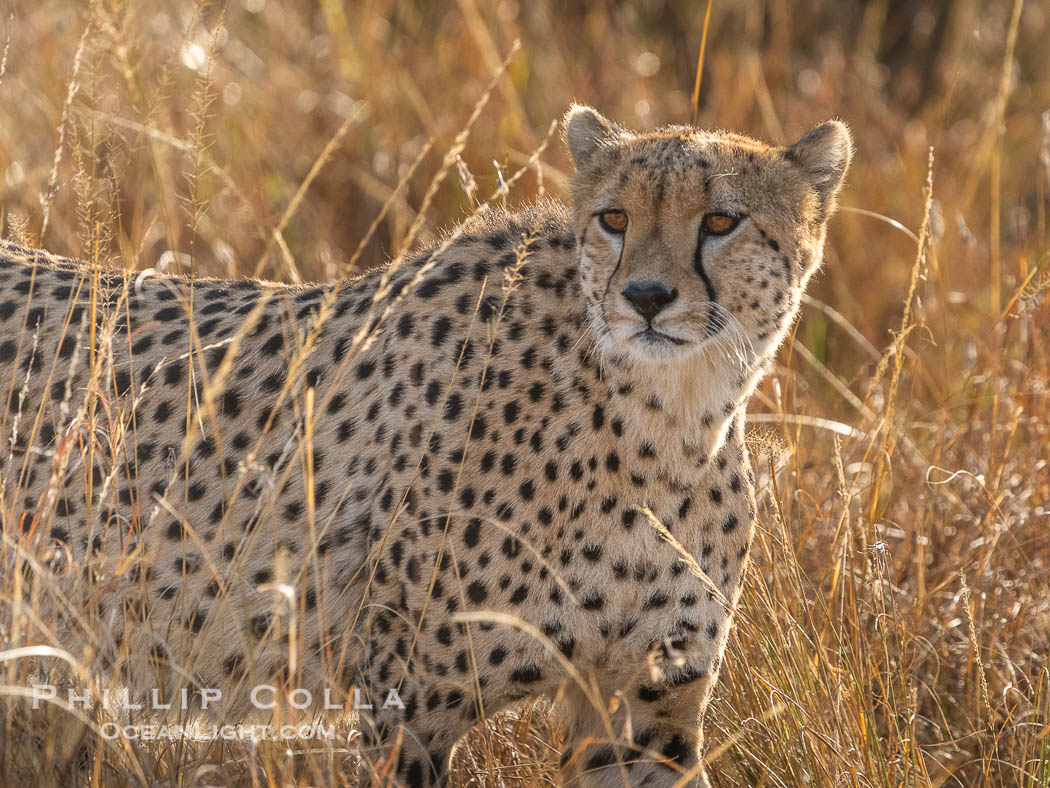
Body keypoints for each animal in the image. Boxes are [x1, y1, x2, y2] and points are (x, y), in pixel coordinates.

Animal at [0, 106, 848, 788]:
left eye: (720, 222)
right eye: (613, 218)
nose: (644, 297)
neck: (664, 421)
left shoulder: (643, 715)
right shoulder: (401, 714)